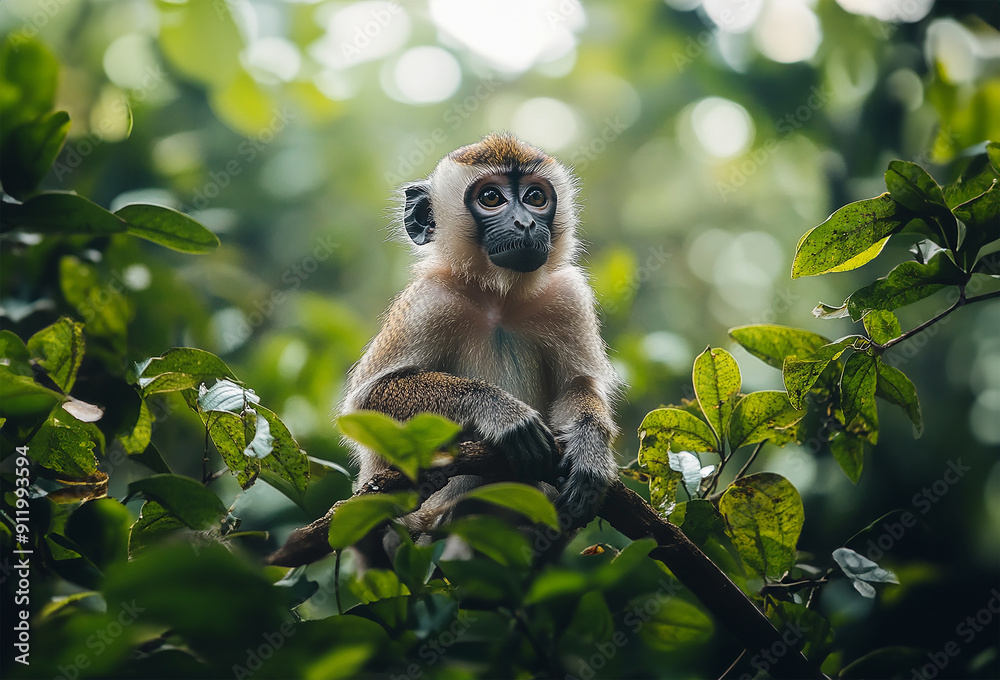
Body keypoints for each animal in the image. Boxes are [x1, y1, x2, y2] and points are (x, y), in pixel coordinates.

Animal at [342, 133, 620, 563]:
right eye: (491, 197)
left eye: (536, 197)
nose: (526, 223)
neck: (499, 297)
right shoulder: (429, 301)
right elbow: (368, 399)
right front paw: (499, 411)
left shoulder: (567, 296)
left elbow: (577, 386)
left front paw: (591, 449)